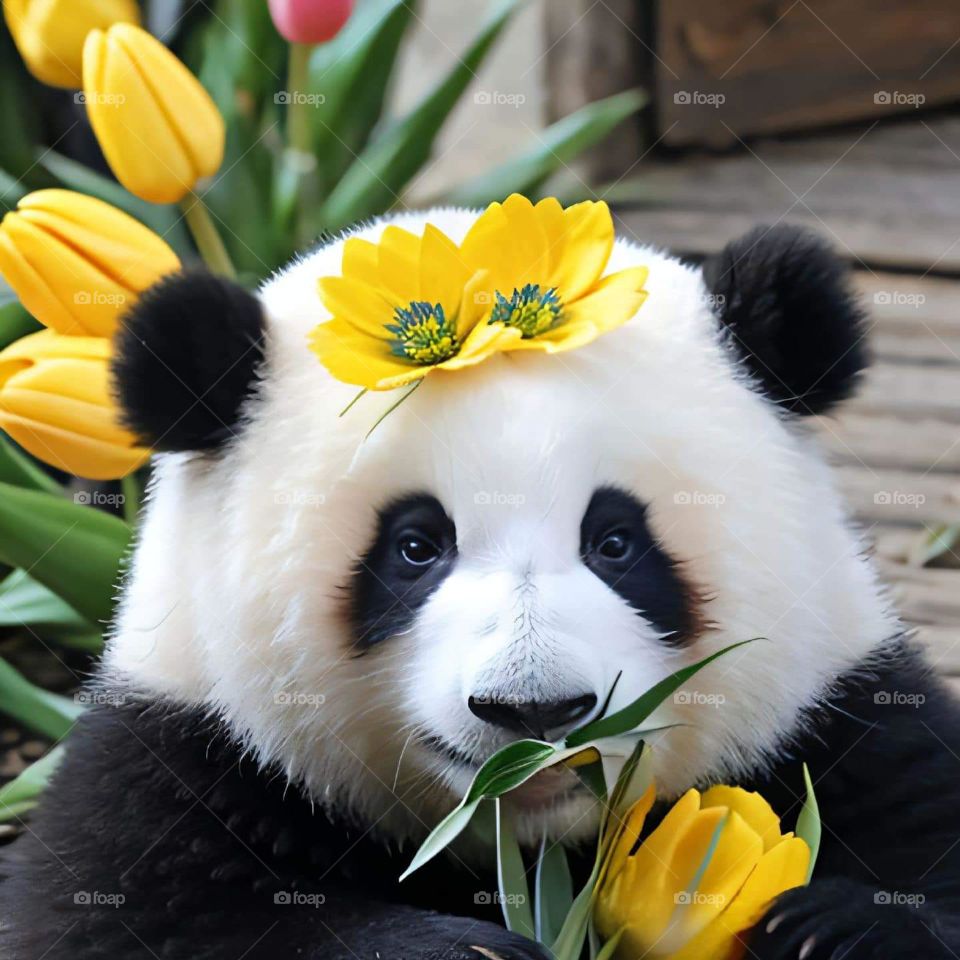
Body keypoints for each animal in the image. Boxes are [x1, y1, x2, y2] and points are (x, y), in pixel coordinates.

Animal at [2, 206, 960, 960]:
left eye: (616, 542)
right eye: (415, 547)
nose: (533, 712)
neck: (528, 843)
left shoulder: (840, 702)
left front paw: (834, 928)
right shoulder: (182, 745)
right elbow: (128, 918)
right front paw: (463, 950)